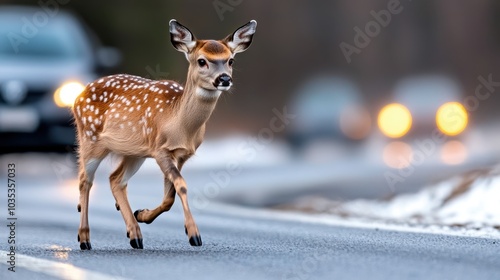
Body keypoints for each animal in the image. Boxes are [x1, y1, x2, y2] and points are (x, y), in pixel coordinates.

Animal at [73, 20, 258, 252]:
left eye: (230, 60)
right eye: (202, 61)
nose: (224, 79)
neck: (178, 123)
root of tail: (78, 97)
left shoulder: (182, 154)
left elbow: (170, 195)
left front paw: (143, 214)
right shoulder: (160, 149)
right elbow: (181, 185)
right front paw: (194, 234)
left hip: (135, 152)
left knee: (115, 179)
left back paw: (135, 235)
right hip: (90, 138)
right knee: (85, 181)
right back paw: (85, 239)